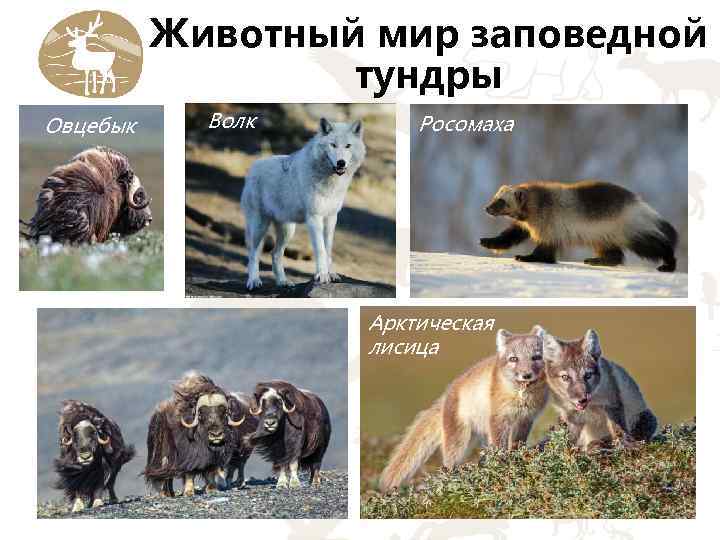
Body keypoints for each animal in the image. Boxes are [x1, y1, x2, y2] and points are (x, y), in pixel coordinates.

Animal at [241, 118, 366, 289]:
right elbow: (320, 249)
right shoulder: (314, 218)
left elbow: (328, 249)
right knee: (253, 253)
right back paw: (254, 281)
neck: (330, 181)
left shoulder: (331, 217)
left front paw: (331, 273)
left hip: (288, 230)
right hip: (259, 226)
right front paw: (322, 275)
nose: (341, 163)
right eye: (333, 145)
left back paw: (283, 282)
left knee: (275, 253)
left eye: (348, 146)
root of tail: (253, 167)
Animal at [379, 327, 548, 492]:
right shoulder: (499, 418)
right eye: (514, 359)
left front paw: (517, 457)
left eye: (536, 357)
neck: (522, 396)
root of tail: (446, 396)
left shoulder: (526, 419)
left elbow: (518, 442)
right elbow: (499, 445)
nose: (526, 375)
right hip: (459, 440)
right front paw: (501, 464)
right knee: (448, 463)